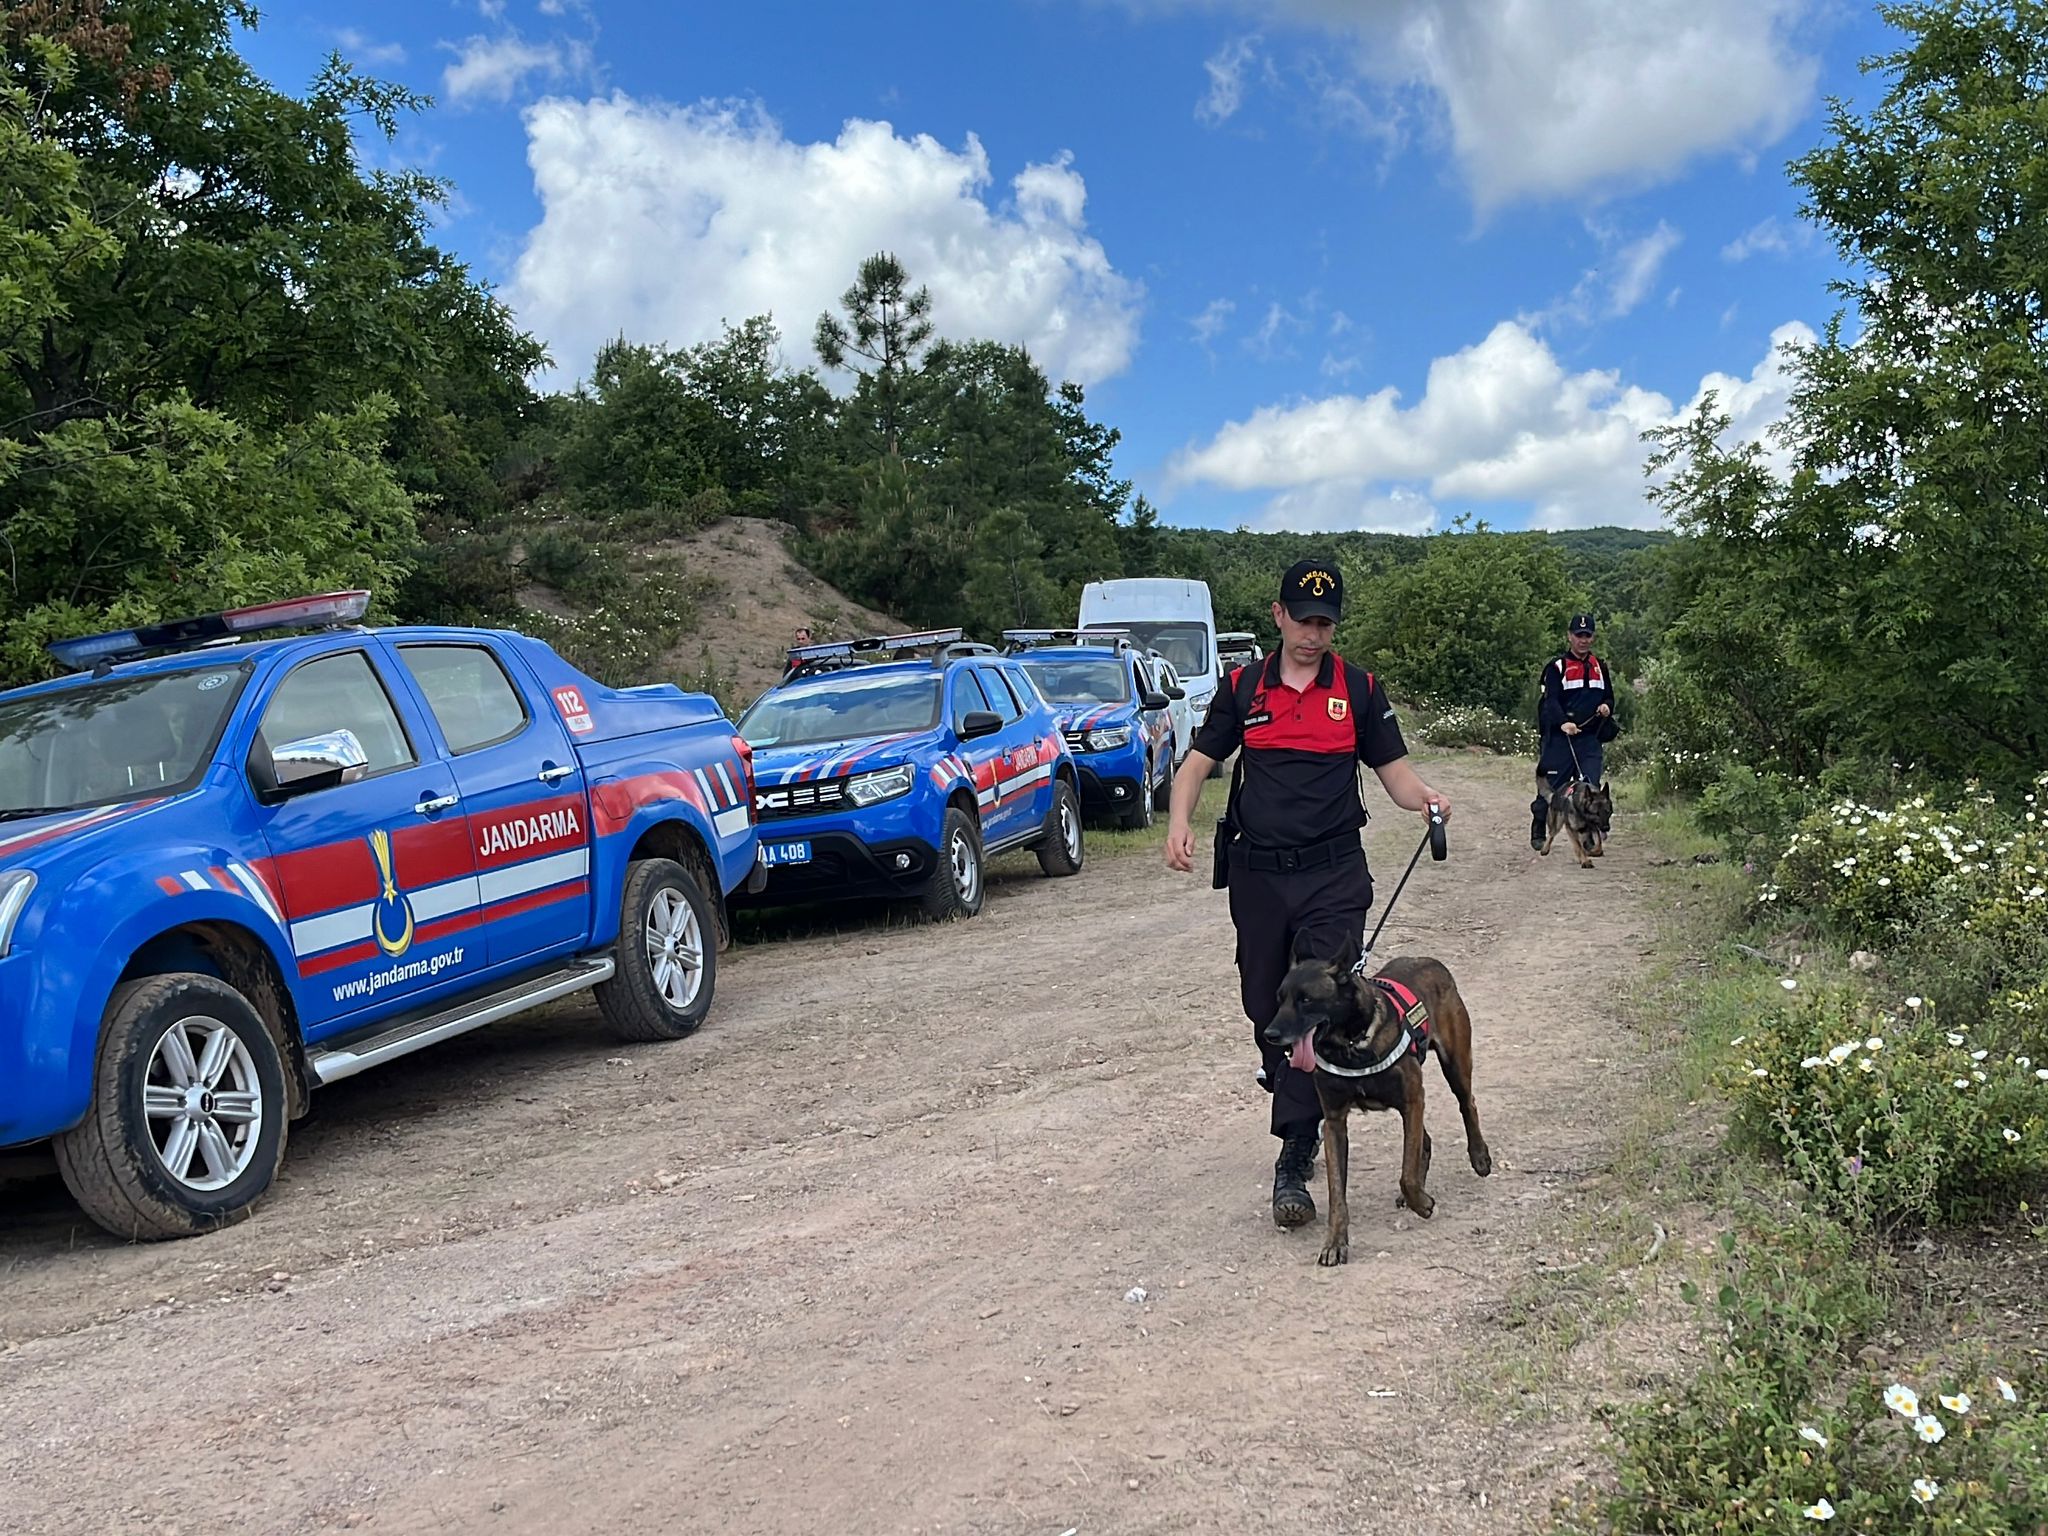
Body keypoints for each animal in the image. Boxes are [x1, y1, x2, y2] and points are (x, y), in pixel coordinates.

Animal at [1261, 958, 1490, 1269]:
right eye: (1279, 999)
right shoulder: (1335, 1122)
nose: (1270, 1035)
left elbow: (1406, 1175)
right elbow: (1337, 1193)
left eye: (1306, 999)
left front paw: (1422, 1203)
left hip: (1455, 1065)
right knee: (1425, 1140)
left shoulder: (1412, 1100)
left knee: (1467, 1104)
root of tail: (1431, 962)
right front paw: (1335, 1243)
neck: (1350, 1044)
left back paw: (1479, 1156)